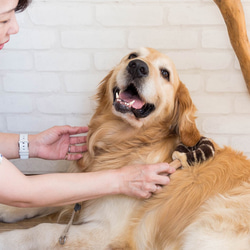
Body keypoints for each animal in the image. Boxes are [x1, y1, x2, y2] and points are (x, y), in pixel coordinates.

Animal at [0, 47, 250, 249]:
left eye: (165, 73)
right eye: (132, 55)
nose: (138, 67)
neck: (123, 142)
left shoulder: (106, 231)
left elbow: (40, 230)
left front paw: (6, 239)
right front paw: (6, 208)